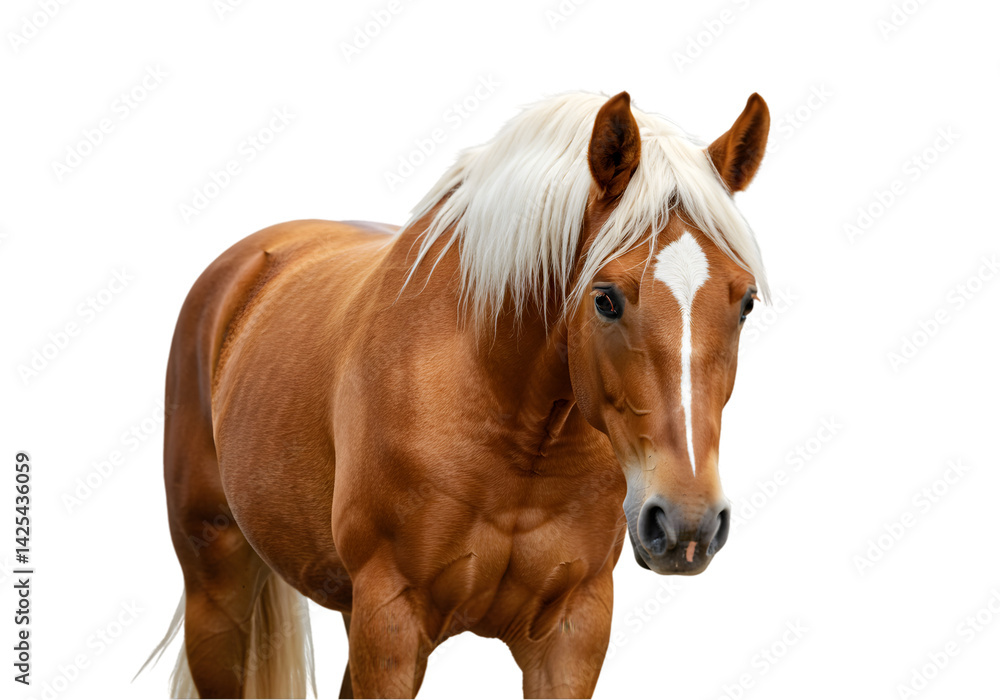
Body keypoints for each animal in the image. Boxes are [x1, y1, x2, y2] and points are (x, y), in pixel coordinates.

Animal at [143, 89, 771, 698]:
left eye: (746, 303)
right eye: (606, 298)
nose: (688, 523)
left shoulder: (573, 631)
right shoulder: (390, 620)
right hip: (216, 589)